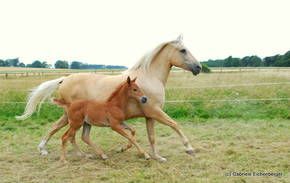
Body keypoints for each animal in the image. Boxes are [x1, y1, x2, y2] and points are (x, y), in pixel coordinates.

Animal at [16, 35, 202, 162]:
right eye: (183, 50)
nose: (198, 67)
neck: (150, 77)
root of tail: (64, 79)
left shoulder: (149, 116)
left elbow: (151, 137)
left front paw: (156, 156)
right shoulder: (155, 111)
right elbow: (175, 125)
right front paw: (189, 148)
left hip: (72, 117)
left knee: (60, 129)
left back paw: (50, 150)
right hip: (74, 118)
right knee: (67, 134)